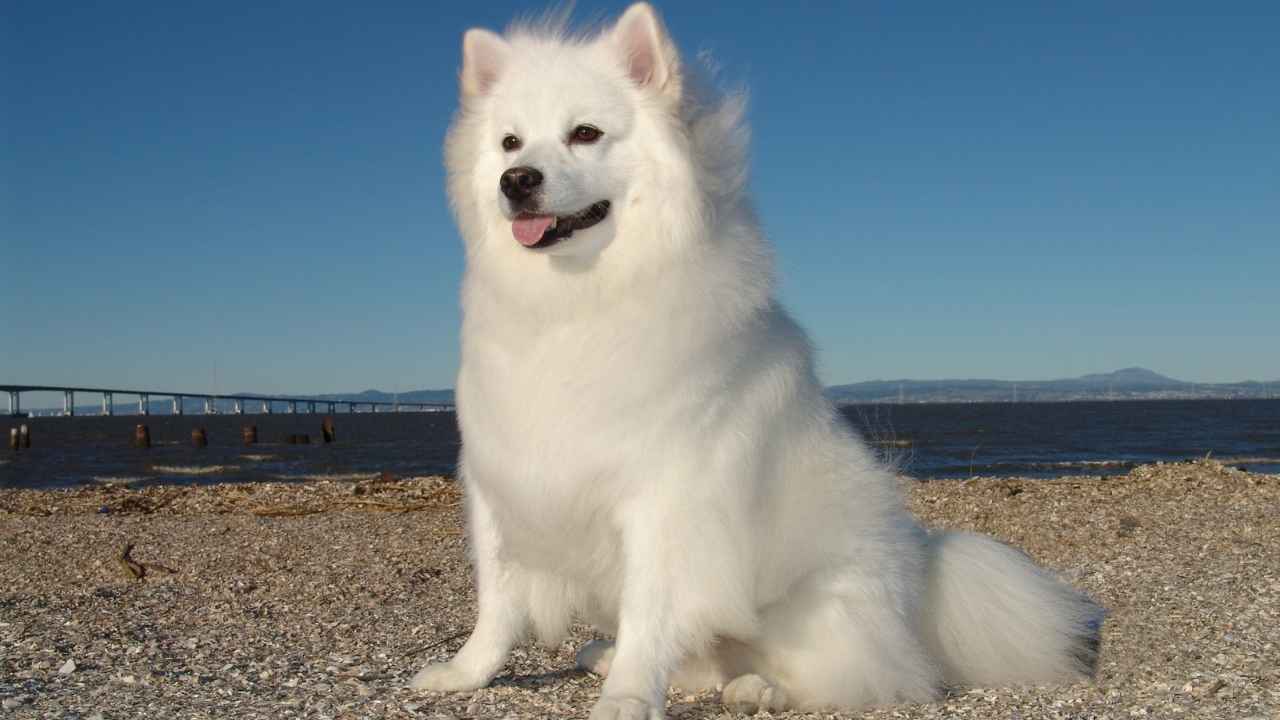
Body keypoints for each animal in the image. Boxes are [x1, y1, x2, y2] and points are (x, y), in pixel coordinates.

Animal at [412, 7, 1100, 717]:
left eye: (585, 133)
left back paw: (758, 687)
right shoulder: (501, 482)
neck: (573, 304)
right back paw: (619, 658)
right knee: (706, 659)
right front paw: (466, 674)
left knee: (859, 675)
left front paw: (627, 697)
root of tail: (922, 587)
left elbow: (648, 613)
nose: (517, 181)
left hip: (815, 607)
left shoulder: (664, 501)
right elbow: (496, 605)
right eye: (510, 144)